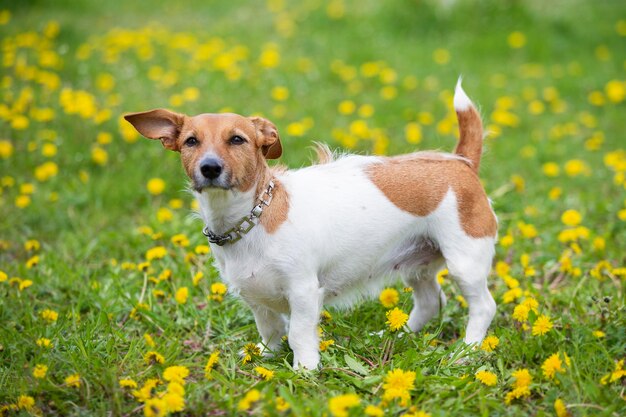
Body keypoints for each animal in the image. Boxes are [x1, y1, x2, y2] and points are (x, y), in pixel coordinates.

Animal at [124, 80, 494, 368]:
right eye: (191, 141)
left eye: (237, 140)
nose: (210, 168)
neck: (253, 219)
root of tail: (461, 161)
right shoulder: (255, 298)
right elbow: (271, 330)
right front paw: (266, 357)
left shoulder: (302, 291)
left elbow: (299, 333)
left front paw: (305, 369)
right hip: (416, 265)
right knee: (431, 302)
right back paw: (398, 333)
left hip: (465, 262)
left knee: (484, 307)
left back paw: (467, 351)